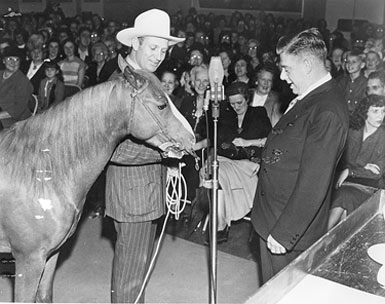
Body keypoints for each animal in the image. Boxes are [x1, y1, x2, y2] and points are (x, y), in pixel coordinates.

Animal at [0, 56, 195, 302]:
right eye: (161, 105)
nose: (192, 138)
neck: (41, 172)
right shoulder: (28, 260)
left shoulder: (51, 255)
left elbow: (45, 295)